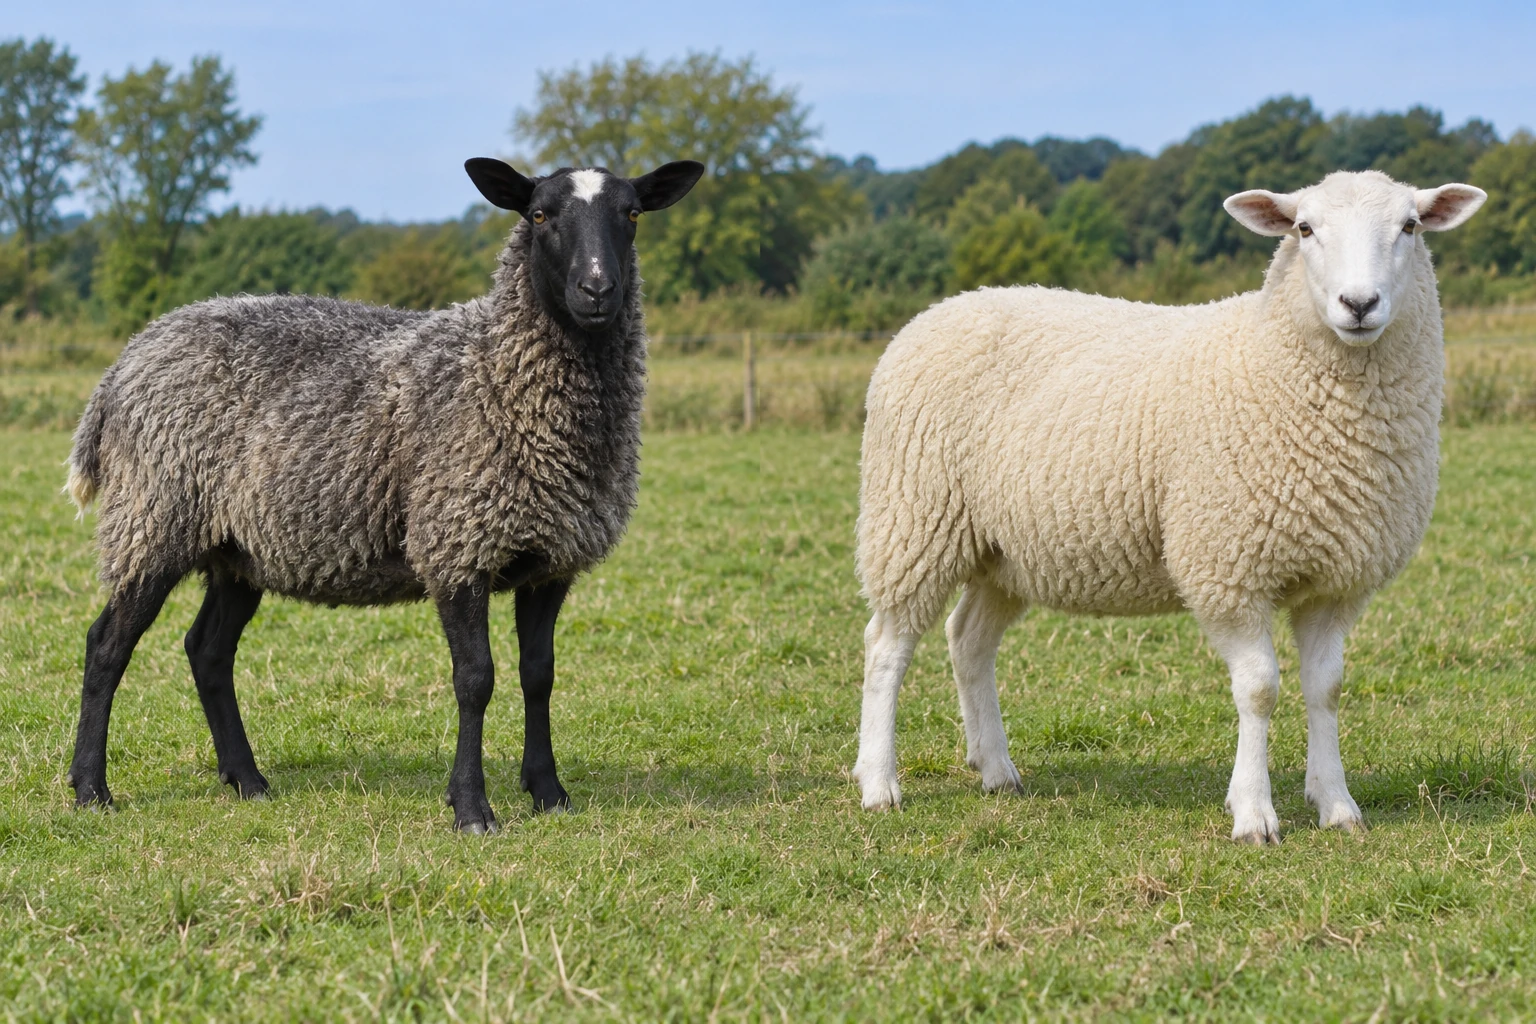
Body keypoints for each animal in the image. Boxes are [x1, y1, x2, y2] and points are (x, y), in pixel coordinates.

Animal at [63, 156, 704, 832]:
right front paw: (472, 808)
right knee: (106, 646)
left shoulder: (550, 560)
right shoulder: (456, 541)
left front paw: (549, 793)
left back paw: (247, 780)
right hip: (154, 517)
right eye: (538, 215)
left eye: (632, 214)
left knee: (207, 651)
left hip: (238, 546)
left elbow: (540, 676)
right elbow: (476, 679)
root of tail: (125, 362)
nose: (597, 290)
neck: (493, 369)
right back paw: (91, 789)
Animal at [851, 170, 1486, 844]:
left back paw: (996, 769)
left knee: (968, 641)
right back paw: (879, 782)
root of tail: (939, 309)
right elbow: (1259, 690)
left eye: (1410, 226)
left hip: (1005, 550)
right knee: (887, 647)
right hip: (913, 518)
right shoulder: (1225, 565)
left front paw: (1336, 804)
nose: (1359, 304)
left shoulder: (1336, 580)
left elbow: (1327, 689)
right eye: (1304, 228)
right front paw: (1254, 813)